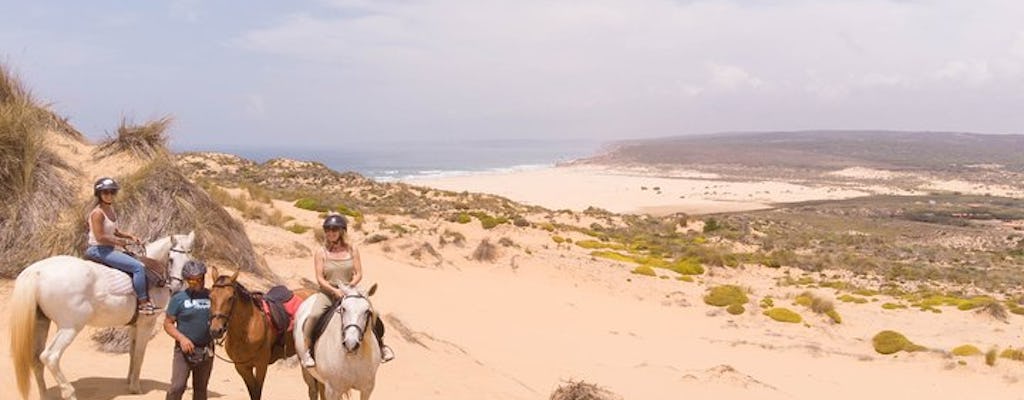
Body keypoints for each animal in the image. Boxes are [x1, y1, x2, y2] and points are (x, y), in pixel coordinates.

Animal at [8, 232, 195, 400]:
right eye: (171, 259)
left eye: (189, 261)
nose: (176, 286)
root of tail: (36, 272)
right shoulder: (146, 324)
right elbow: (140, 354)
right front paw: (135, 387)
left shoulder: (135, 325)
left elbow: (132, 352)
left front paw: (129, 381)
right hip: (70, 327)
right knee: (50, 357)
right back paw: (69, 393)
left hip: (41, 323)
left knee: (36, 359)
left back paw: (45, 395)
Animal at [207, 265, 315, 400]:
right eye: (210, 297)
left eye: (230, 298)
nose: (216, 330)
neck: (246, 330)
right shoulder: (242, 368)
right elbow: (253, 393)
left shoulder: (261, 365)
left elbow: (257, 392)